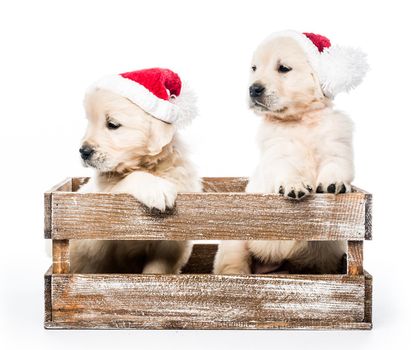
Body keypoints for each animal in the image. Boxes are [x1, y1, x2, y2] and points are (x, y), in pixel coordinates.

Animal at [70, 68, 202, 274]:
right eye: (89, 122)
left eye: (112, 124)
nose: (83, 151)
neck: (147, 165)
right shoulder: (98, 212)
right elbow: (132, 178)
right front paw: (157, 189)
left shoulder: (171, 244)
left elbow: (158, 268)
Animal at [214, 31, 368, 274]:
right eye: (254, 68)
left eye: (283, 68)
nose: (253, 89)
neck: (301, 120)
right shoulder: (277, 154)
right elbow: (286, 170)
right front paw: (294, 186)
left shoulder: (337, 146)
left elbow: (335, 166)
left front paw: (333, 184)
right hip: (235, 243)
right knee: (233, 261)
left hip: (325, 257)